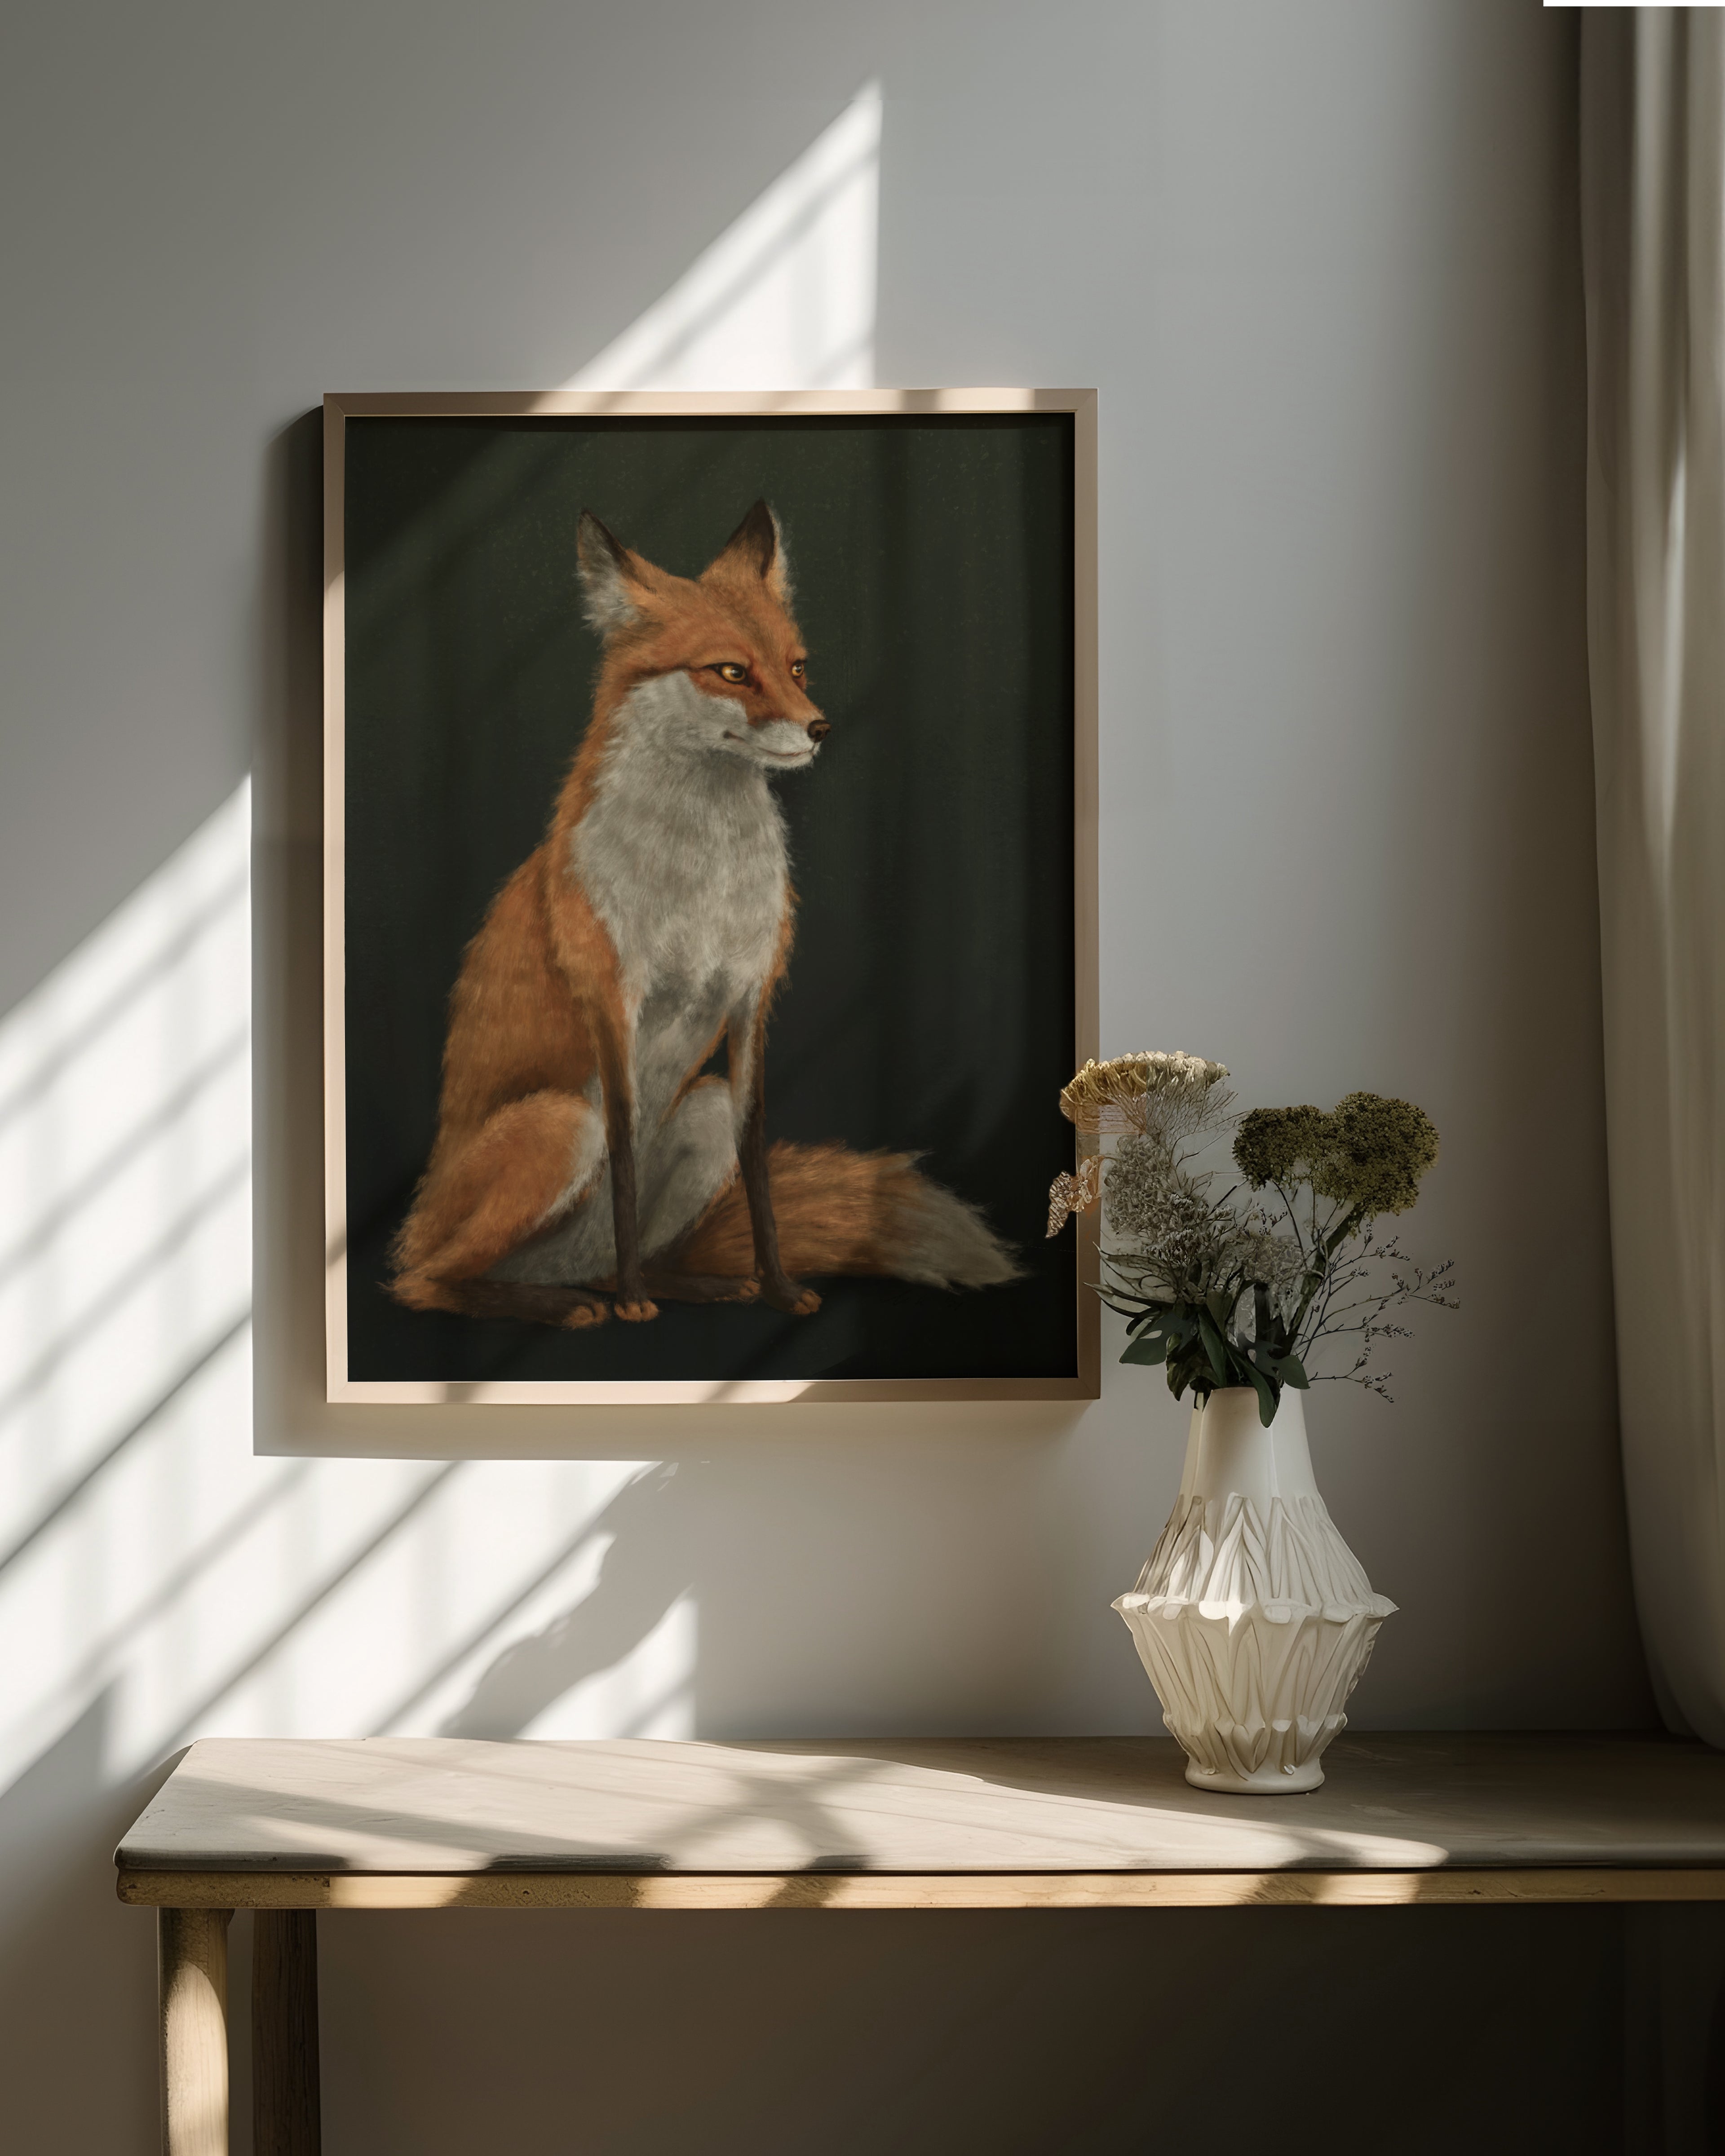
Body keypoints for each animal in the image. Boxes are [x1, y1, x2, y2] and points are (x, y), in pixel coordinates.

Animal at [390, 499, 1018, 1330]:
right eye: (731, 671)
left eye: (796, 667)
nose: (820, 728)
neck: (702, 881)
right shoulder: (614, 1002)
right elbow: (624, 1161)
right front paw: (635, 1303)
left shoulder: (752, 999)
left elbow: (757, 1169)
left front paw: (778, 1288)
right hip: (560, 1125)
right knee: (426, 1282)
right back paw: (569, 1301)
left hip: (702, 1110)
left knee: (616, 1255)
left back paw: (682, 1284)